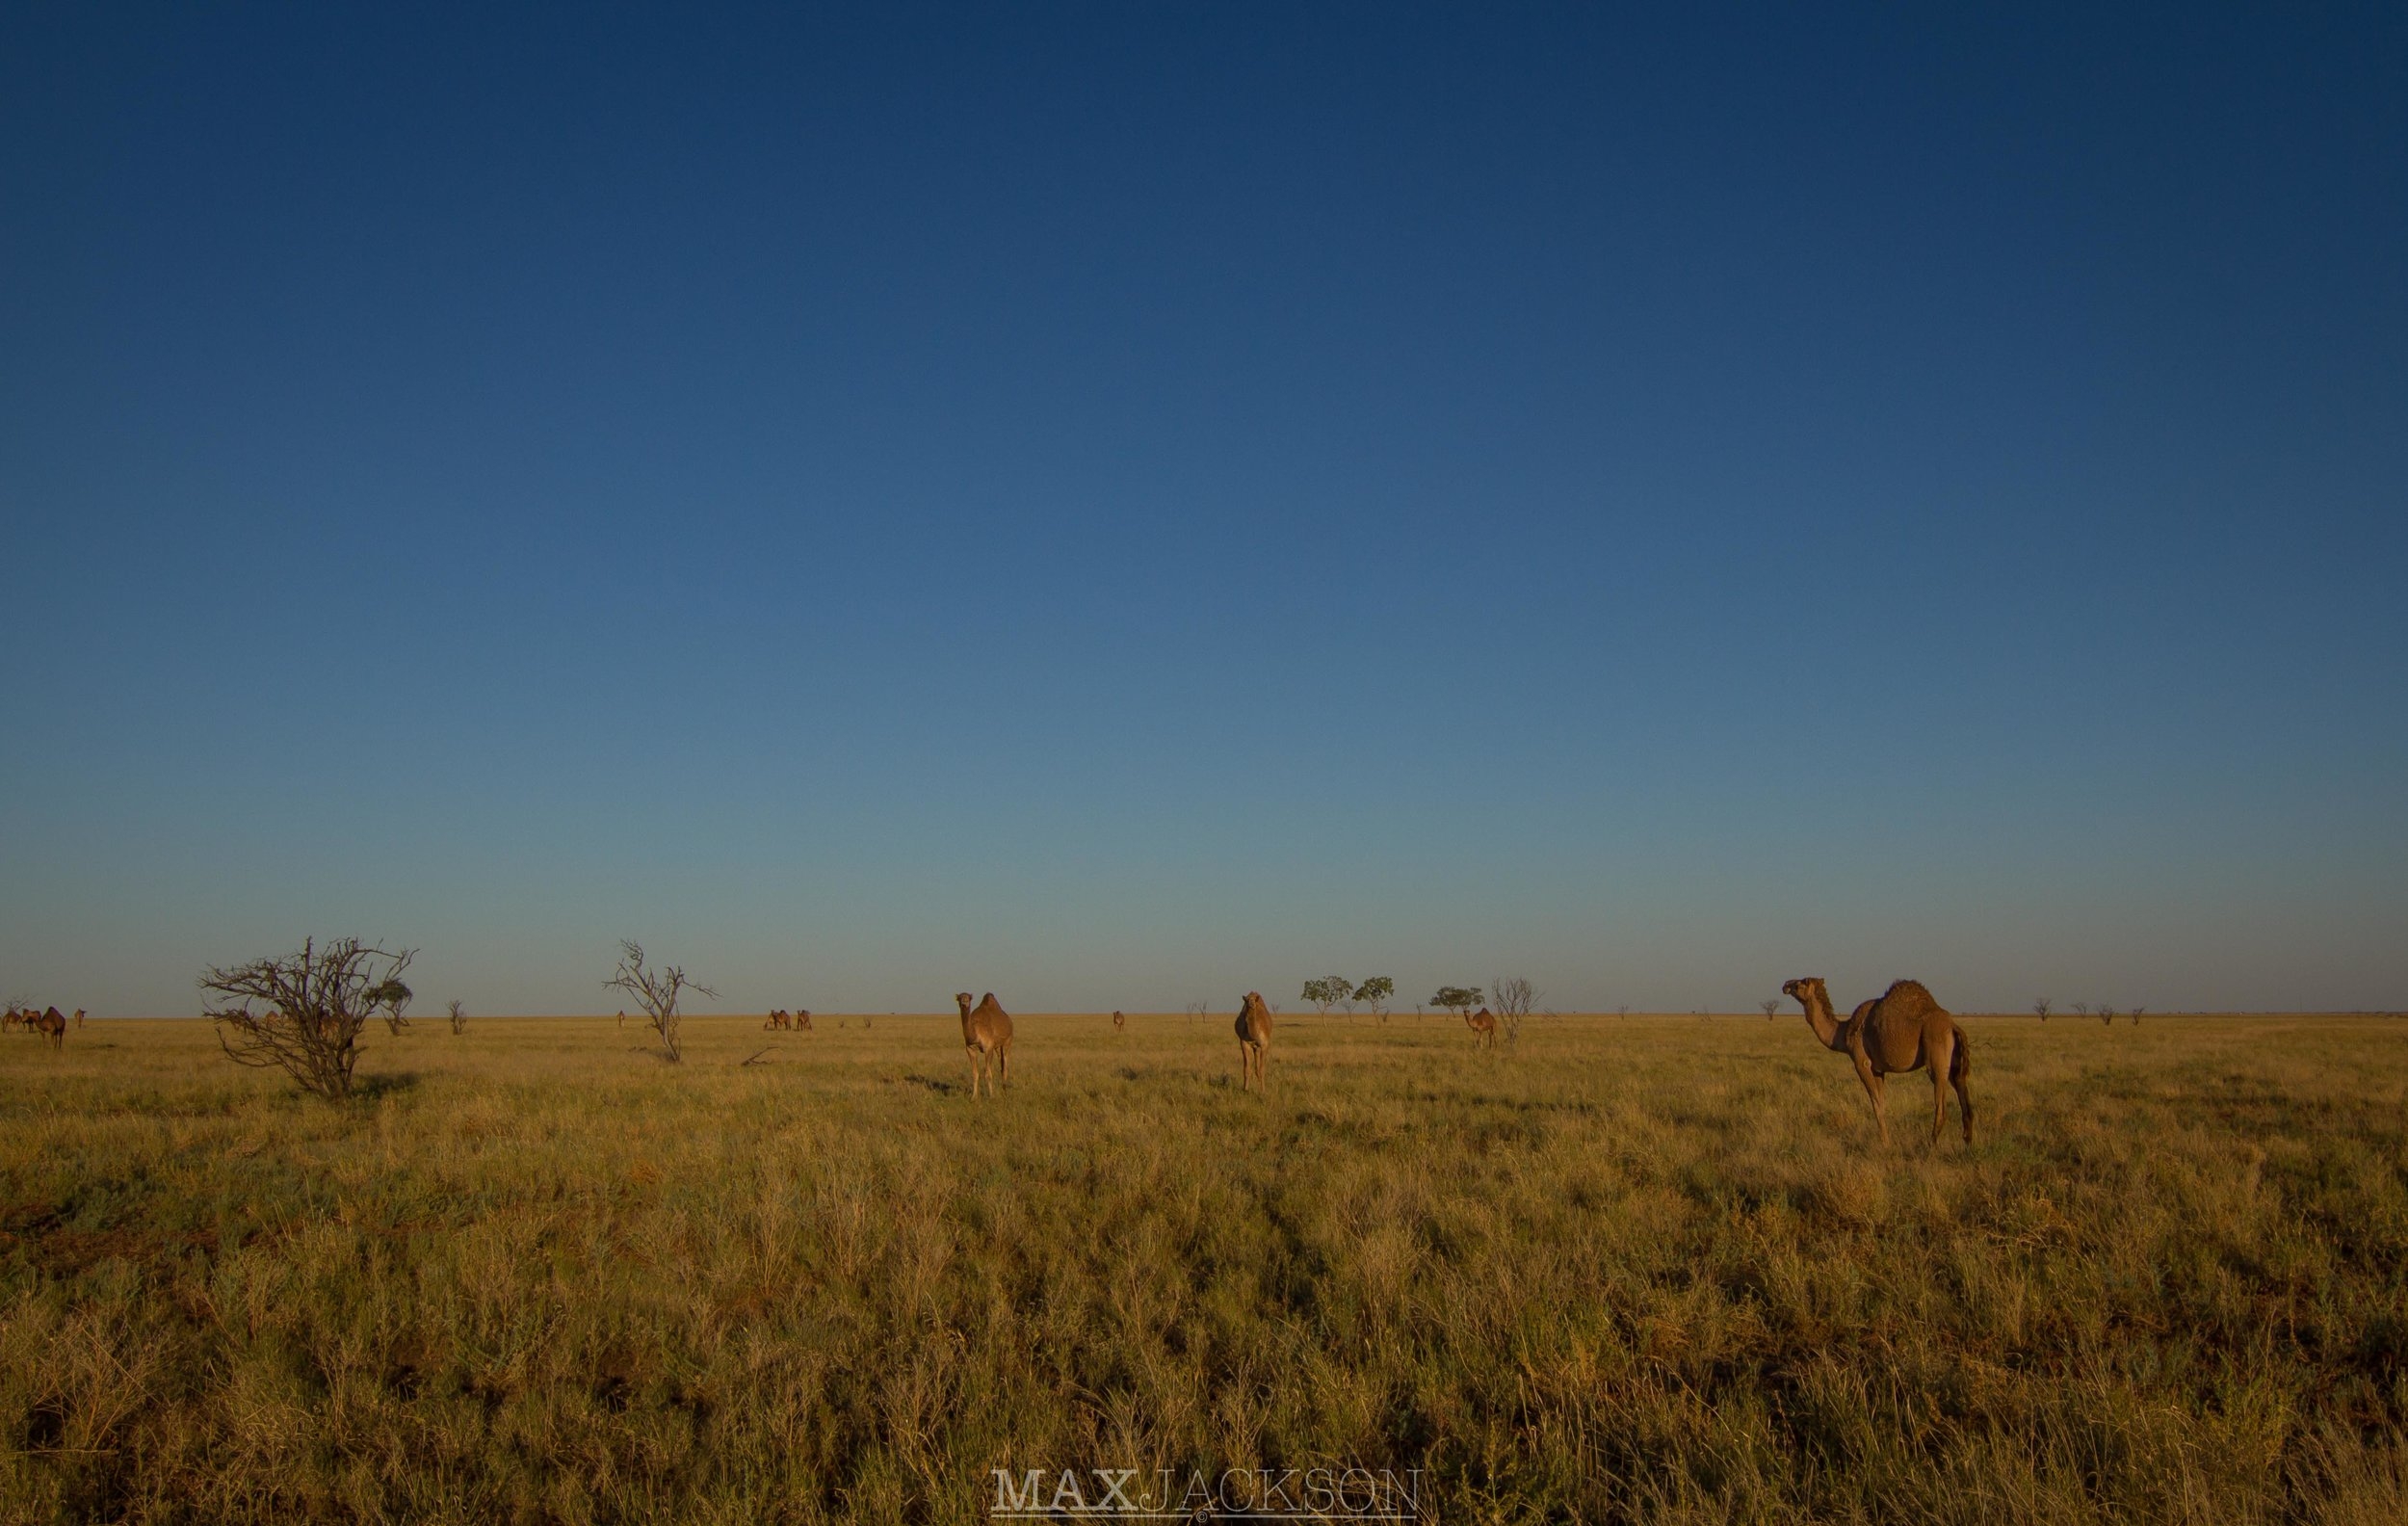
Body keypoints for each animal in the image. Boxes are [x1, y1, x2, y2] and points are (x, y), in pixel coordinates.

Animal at [1783, 977, 1973, 1148]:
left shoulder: (1862, 1063)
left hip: (1936, 1056)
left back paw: (1929, 1146)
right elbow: (1882, 1102)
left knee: (1941, 1105)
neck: (1843, 1033)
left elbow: (1875, 1104)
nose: (1785, 985)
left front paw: (1885, 1144)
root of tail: (1953, 1026)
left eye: (1799, 983)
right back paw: (1967, 1143)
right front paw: (1887, 1141)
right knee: (1964, 1096)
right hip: (1954, 1064)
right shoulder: (1878, 1070)